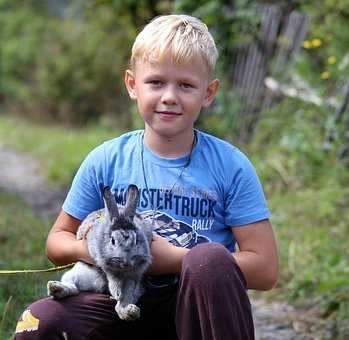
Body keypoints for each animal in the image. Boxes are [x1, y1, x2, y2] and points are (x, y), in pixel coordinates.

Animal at [47, 185, 152, 320]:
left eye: (136, 240)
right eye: (113, 240)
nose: (126, 262)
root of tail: (99, 286)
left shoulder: (135, 274)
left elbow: (128, 289)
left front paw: (119, 295)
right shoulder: (104, 264)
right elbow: (112, 278)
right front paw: (117, 292)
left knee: (122, 303)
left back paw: (129, 311)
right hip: (79, 272)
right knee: (73, 287)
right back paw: (55, 288)